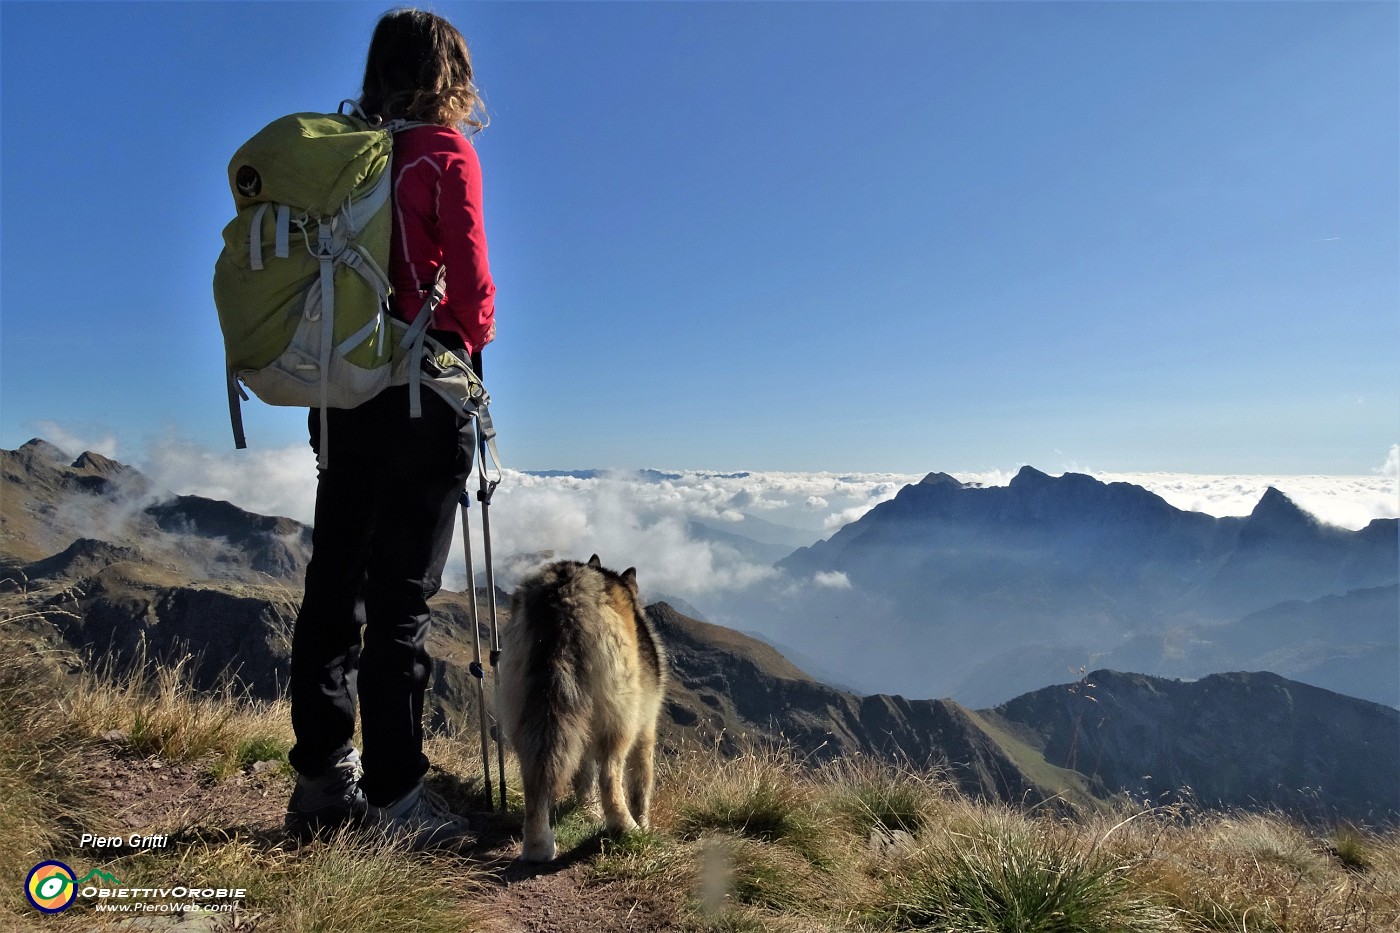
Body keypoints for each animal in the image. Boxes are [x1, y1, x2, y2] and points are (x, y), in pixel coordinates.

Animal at [498, 549, 666, 862]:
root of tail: (564, 595)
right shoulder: (646, 730)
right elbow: (640, 785)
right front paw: (644, 824)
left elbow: (583, 777)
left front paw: (587, 812)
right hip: (620, 715)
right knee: (610, 776)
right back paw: (626, 829)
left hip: (523, 703)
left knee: (535, 776)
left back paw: (538, 846)